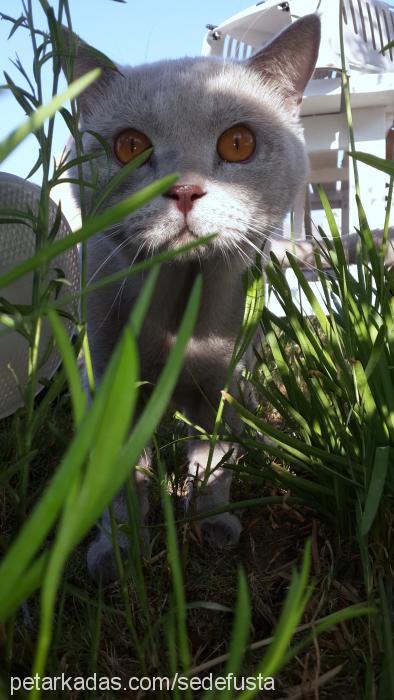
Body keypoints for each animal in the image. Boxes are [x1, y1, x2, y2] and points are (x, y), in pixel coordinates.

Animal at [60, 13, 320, 580]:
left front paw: (213, 524)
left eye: (239, 143)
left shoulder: (222, 388)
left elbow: (214, 463)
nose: (183, 190)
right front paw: (117, 554)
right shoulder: (107, 382)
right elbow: (119, 484)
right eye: (130, 146)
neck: (178, 309)